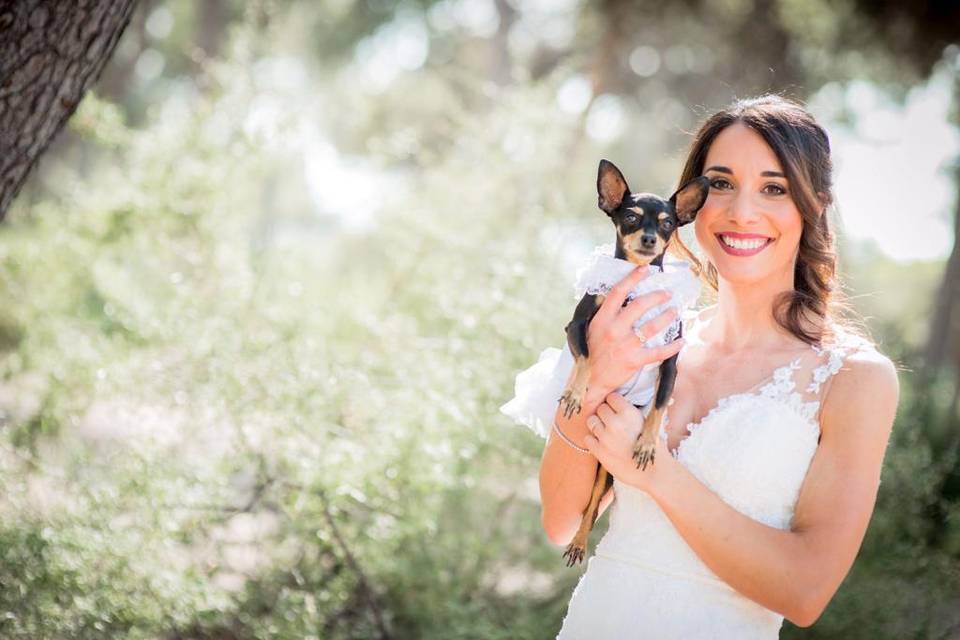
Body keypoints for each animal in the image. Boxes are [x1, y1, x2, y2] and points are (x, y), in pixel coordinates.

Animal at [560, 160, 708, 564]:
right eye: (630, 217)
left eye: (668, 223)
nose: (650, 239)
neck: (635, 283)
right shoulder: (577, 326)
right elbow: (587, 357)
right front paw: (576, 392)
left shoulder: (670, 362)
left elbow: (658, 405)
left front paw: (646, 443)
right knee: (590, 508)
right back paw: (578, 542)